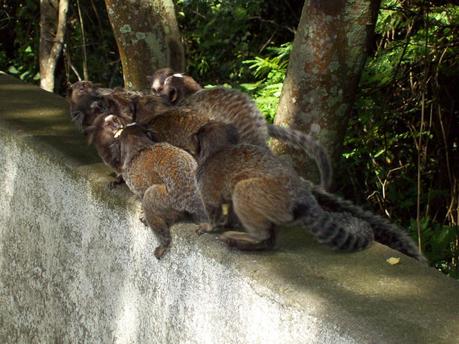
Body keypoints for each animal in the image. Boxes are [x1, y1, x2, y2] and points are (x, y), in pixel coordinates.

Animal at [103, 115, 209, 258]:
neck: (140, 147)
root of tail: (191, 194)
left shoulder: (130, 173)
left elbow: (142, 192)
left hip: (171, 201)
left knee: (149, 195)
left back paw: (164, 243)